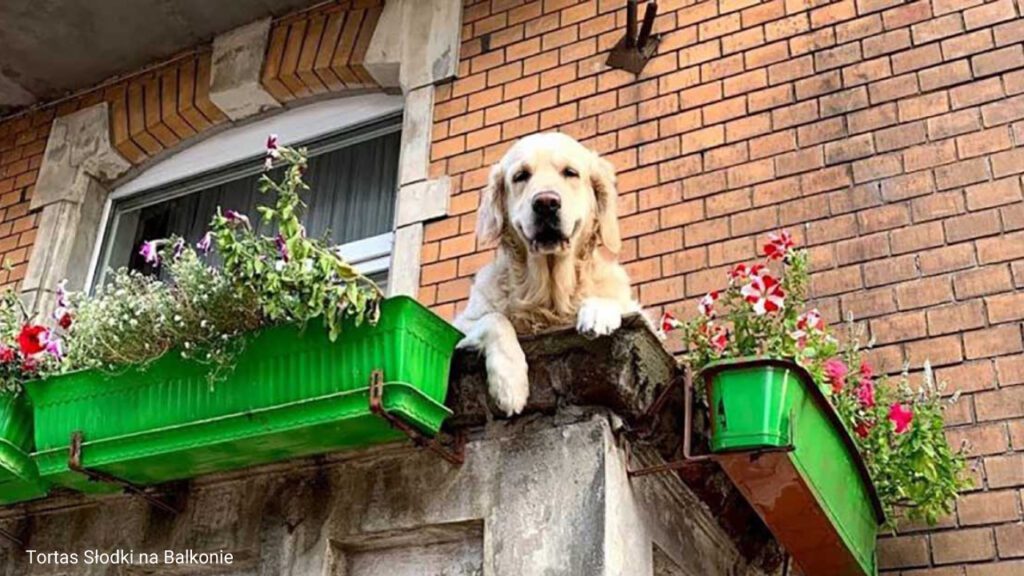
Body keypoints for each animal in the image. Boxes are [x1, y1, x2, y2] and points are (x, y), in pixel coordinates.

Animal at [456, 132, 638, 414]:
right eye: (520, 176)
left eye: (570, 172)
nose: (546, 203)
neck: (550, 294)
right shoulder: (460, 323)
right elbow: (495, 319)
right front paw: (510, 382)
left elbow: (614, 302)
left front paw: (597, 312)